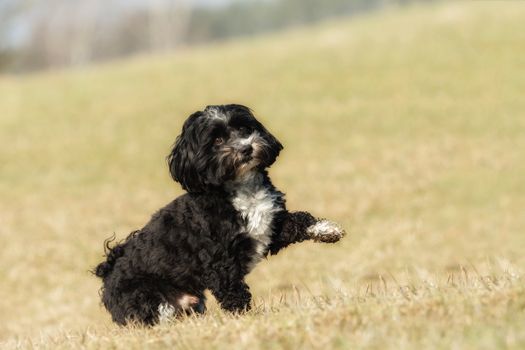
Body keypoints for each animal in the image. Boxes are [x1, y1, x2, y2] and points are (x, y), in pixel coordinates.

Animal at [94, 104, 346, 326]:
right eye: (217, 140)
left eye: (244, 129)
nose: (246, 148)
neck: (242, 189)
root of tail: (108, 271)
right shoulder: (219, 262)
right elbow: (234, 294)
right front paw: (245, 320)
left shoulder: (269, 229)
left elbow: (299, 220)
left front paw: (326, 229)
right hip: (144, 297)